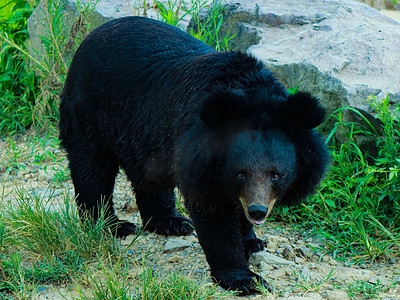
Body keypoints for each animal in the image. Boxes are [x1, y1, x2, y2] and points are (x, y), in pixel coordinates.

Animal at [58, 15, 328, 292]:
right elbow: (212, 213)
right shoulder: (198, 153)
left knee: (149, 175)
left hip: (145, 131)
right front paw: (245, 279)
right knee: (92, 170)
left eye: (276, 175)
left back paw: (170, 222)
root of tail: (88, 38)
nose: (258, 211)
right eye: (240, 174)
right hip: (91, 114)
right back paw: (112, 226)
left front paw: (252, 242)